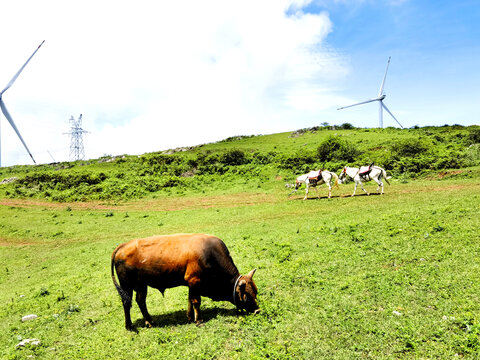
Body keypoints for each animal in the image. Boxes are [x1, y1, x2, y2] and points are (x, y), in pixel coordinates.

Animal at [110, 233, 258, 330]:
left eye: (255, 292)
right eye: (246, 295)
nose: (257, 310)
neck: (210, 254)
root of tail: (123, 246)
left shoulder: (191, 284)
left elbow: (190, 300)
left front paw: (190, 317)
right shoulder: (194, 281)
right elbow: (196, 301)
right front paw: (199, 320)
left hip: (141, 285)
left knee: (140, 301)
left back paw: (150, 321)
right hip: (126, 286)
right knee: (126, 302)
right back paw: (129, 326)